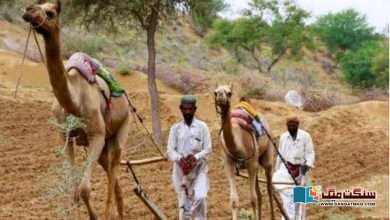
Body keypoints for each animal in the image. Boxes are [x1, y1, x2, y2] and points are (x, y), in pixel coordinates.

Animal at [22, 0, 129, 219]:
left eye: (50, 12)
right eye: (38, 4)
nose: (28, 10)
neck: (74, 100)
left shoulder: (97, 134)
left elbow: (84, 189)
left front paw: (94, 216)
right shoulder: (65, 136)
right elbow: (73, 189)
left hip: (122, 128)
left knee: (113, 173)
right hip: (103, 147)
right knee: (115, 182)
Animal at [213, 85, 274, 219]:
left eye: (229, 93)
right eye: (215, 92)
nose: (220, 95)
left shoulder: (251, 164)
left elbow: (252, 199)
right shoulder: (229, 164)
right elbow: (234, 200)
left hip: (267, 157)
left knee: (268, 189)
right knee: (259, 193)